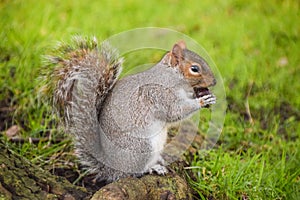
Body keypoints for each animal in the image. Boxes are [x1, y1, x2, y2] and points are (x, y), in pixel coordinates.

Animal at [41, 36, 216, 183]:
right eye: (195, 69)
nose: (214, 82)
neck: (171, 75)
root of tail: (109, 166)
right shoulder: (158, 93)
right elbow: (174, 112)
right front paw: (201, 101)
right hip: (141, 147)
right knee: (130, 173)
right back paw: (151, 168)